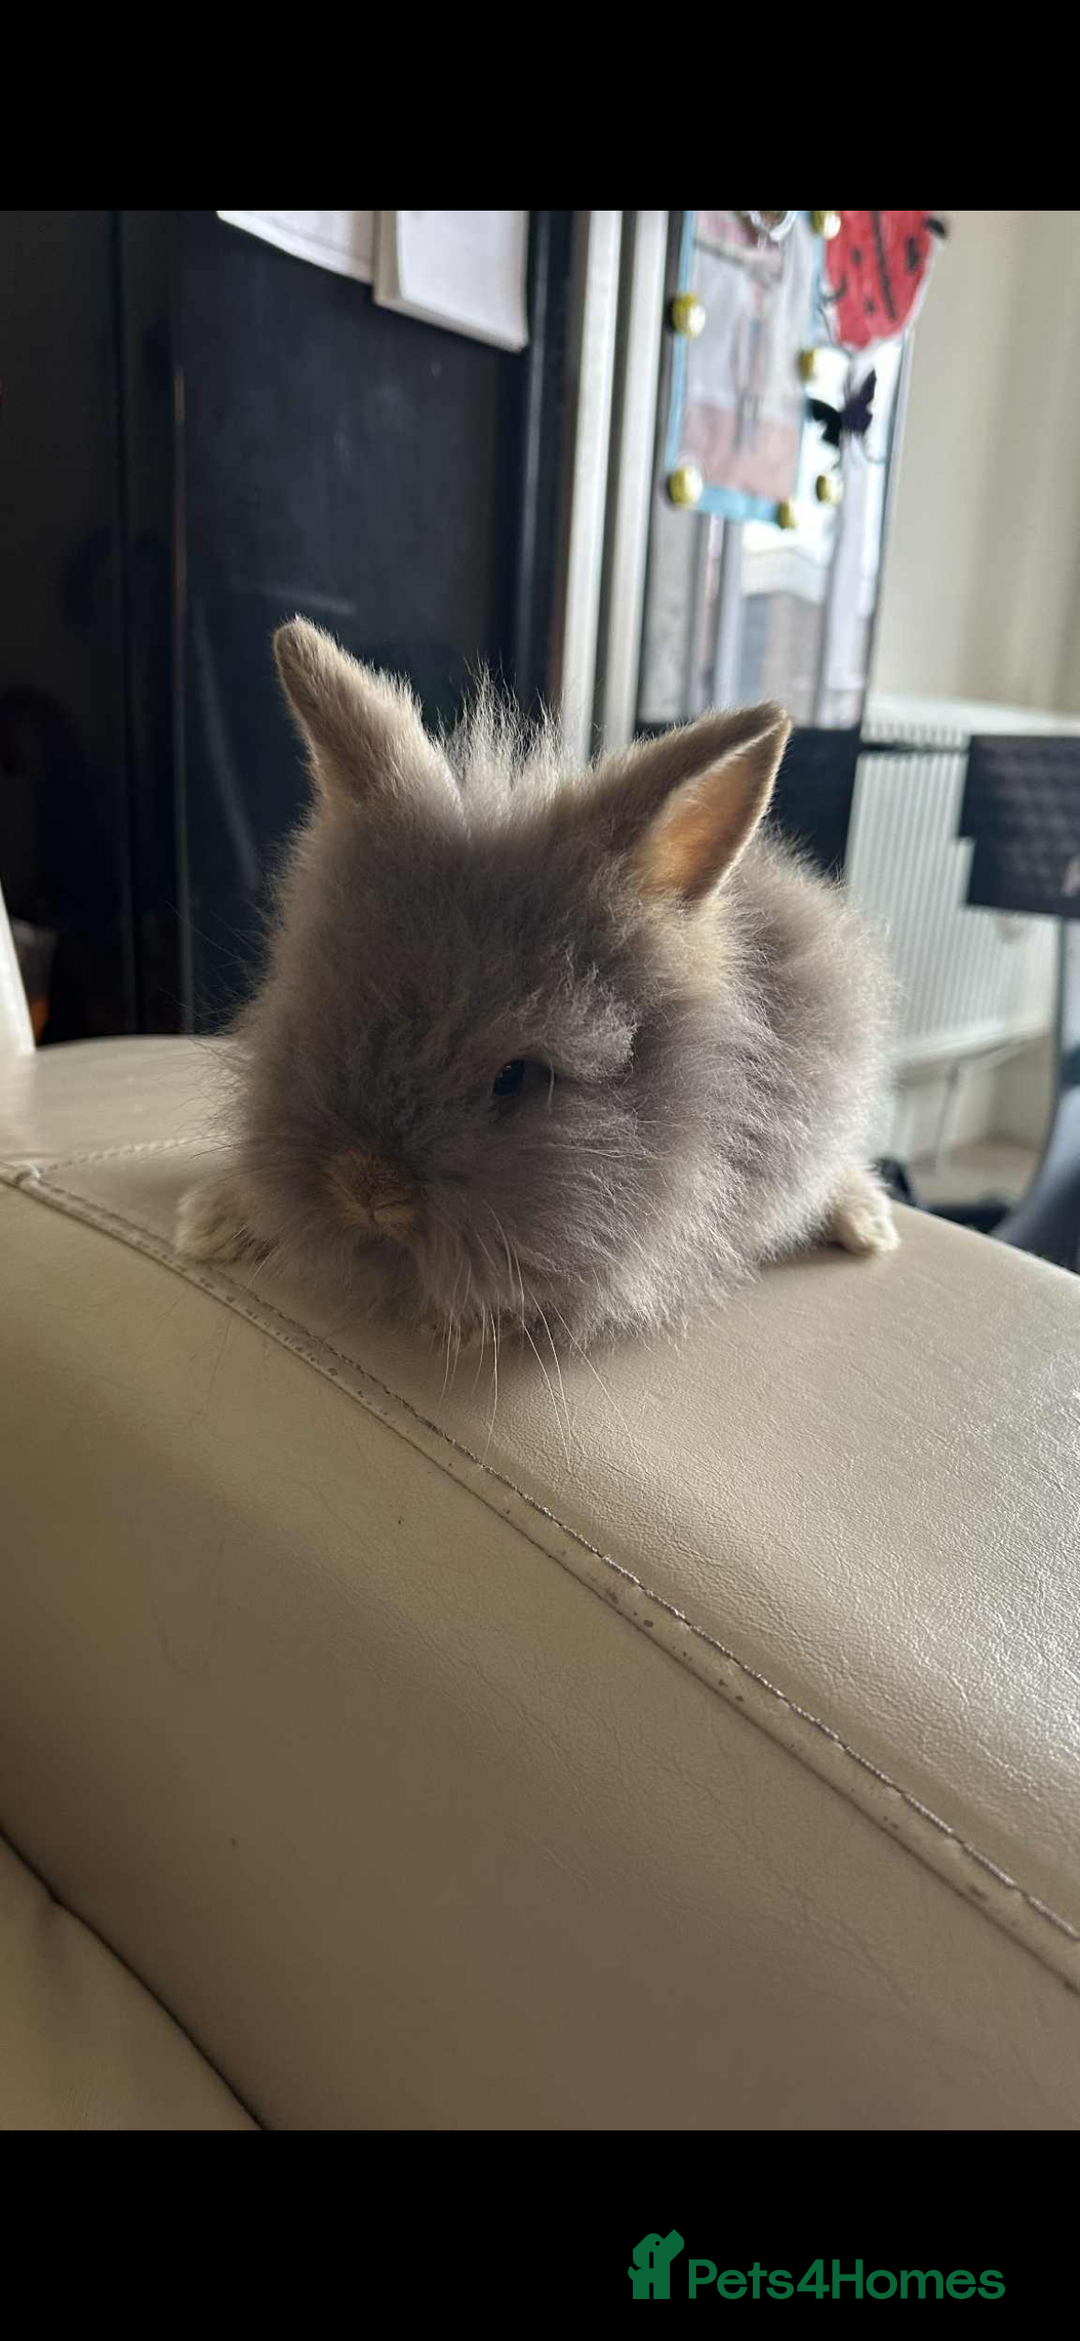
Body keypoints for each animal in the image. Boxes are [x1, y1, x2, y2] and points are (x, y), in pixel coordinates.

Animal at [177, 619, 896, 1350]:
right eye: (321, 1032)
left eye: (516, 1077)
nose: (370, 1191)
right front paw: (208, 1224)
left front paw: (459, 1321)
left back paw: (869, 1225)